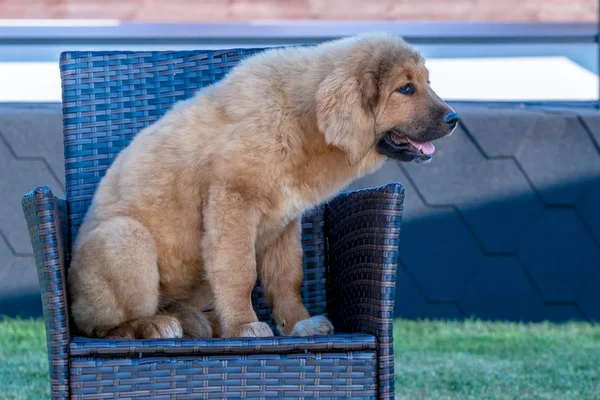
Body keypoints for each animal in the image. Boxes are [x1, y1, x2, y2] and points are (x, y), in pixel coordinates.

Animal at [68, 32, 458, 340]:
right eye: (405, 89)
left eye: (427, 83)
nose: (455, 119)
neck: (301, 122)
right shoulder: (233, 201)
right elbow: (240, 272)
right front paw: (243, 326)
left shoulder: (285, 220)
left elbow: (287, 277)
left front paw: (298, 324)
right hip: (125, 239)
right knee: (97, 327)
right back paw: (154, 325)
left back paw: (200, 322)